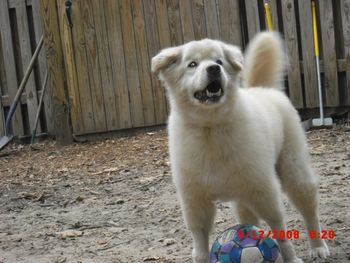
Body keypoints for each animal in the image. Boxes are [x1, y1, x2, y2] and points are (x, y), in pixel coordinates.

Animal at [152, 33, 330, 263]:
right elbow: (200, 242)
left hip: (294, 174)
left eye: (219, 61)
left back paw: (318, 247)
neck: (211, 128)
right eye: (192, 64)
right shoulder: (195, 200)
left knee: (310, 212)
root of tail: (264, 89)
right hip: (242, 197)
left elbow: (279, 230)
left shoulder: (264, 190)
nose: (213, 69)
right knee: (250, 220)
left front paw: (290, 258)